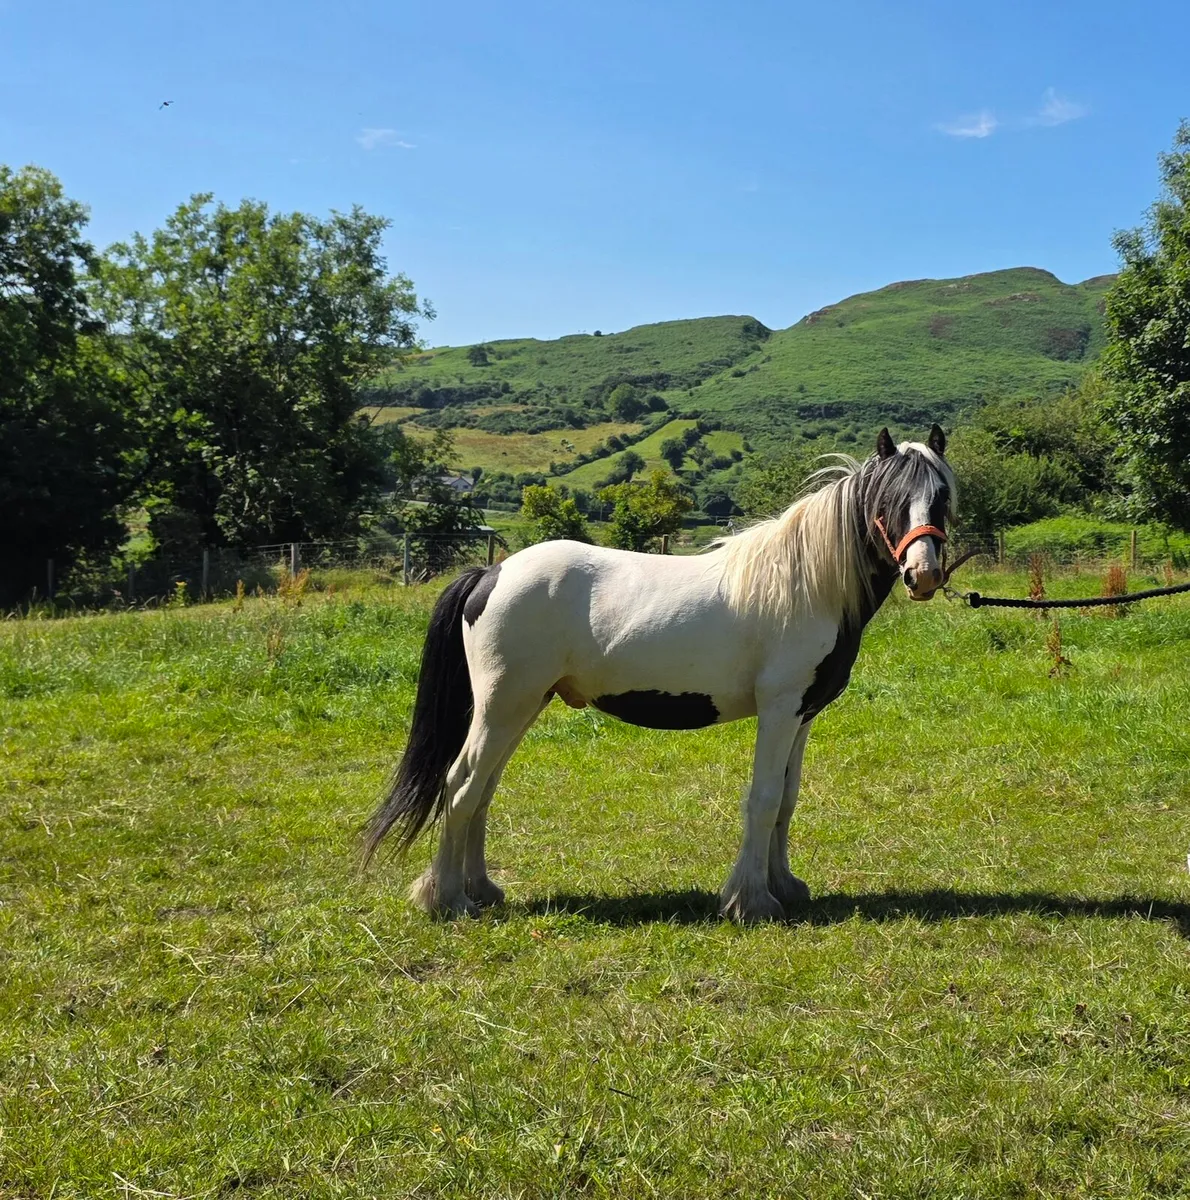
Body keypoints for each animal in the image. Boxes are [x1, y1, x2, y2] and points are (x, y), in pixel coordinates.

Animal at [365, 425, 956, 923]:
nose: (923, 574)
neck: (808, 584)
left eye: (942, 497)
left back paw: (482, 889)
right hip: (502, 707)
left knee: (483, 789)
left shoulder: (803, 715)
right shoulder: (779, 710)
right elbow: (763, 799)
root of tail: (492, 572)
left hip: (522, 707)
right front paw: (751, 900)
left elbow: (787, 800)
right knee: (461, 786)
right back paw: (448, 899)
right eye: (889, 500)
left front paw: (784, 886)